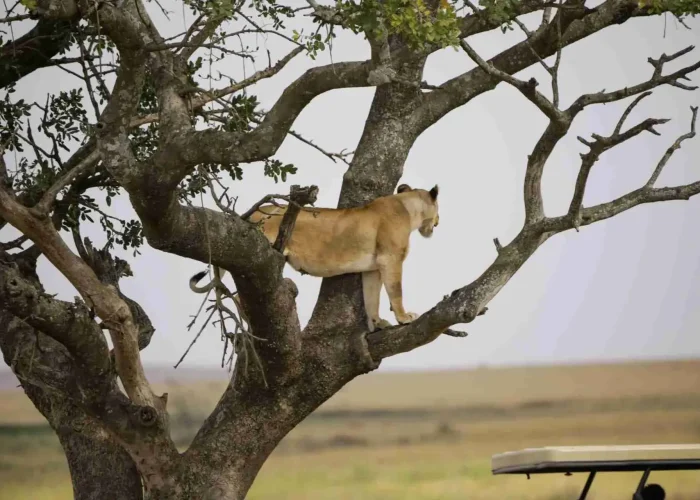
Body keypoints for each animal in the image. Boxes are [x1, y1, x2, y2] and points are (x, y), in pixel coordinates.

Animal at [189, 183, 440, 332]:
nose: (438, 222)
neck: (408, 207)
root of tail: (249, 215)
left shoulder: (372, 267)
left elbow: (372, 297)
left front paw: (378, 323)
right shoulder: (390, 258)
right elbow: (395, 291)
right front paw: (404, 317)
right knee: (243, 298)